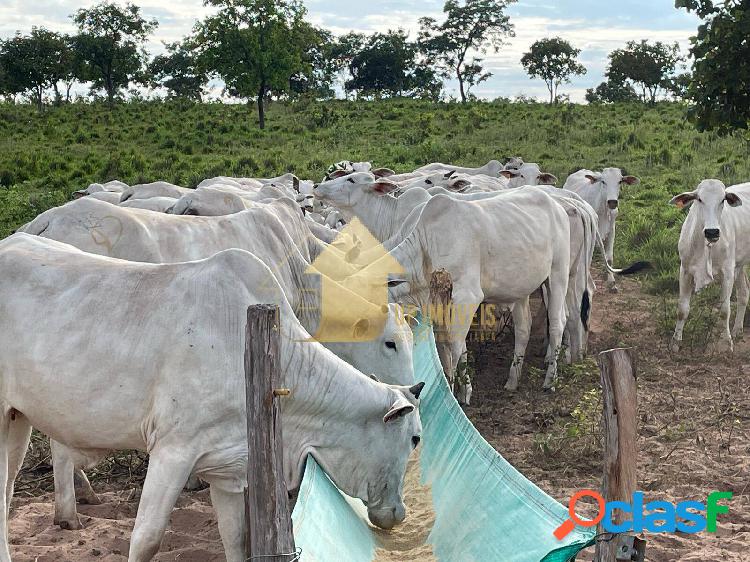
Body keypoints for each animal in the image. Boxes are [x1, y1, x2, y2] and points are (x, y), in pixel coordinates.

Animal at [0, 234, 424, 556]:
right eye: (416, 439)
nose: (399, 513)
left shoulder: (229, 468)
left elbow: (235, 538)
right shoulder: (173, 449)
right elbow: (147, 538)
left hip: (19, 419)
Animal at [668, 179, 750, 350]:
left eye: (723, 200)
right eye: (699, 199)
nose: (712, 232)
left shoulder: (727, 273)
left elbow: (724, 310)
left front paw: (726, 342)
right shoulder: (685, 270)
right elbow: (682, 309)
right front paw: (675, 341)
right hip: (739, 264)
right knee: (744, 292)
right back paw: (737, 329)